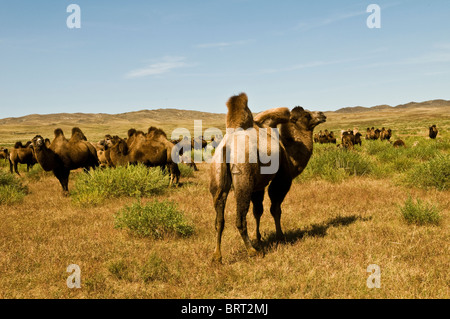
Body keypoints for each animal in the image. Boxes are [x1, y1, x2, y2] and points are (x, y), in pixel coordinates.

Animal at [209, 94, 326, 264]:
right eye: (307, 115)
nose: (322, 114)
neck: (287, 148)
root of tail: (227, 146)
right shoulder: (281, 179)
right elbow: (275, 209)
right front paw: (280, 236)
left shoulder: (258, 185)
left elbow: (258, 211)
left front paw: (258, 237)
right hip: (243, 178)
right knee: (240, 218)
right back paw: (252, 251)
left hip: (217, 177)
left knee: (219, 218)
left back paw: (217, 256)